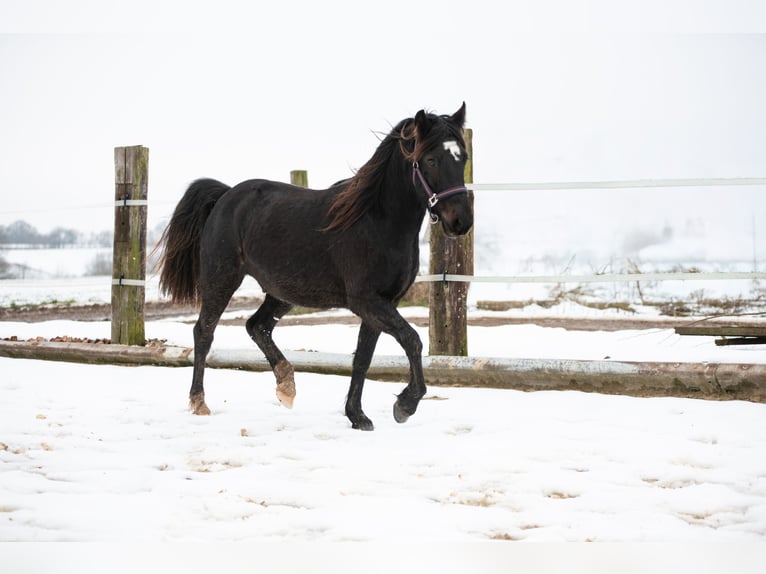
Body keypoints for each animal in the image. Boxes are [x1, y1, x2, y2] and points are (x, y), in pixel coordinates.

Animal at [157, 103, 473, 430]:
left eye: (463, 157)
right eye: (431, 159)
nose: (460, 221)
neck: (377, 221)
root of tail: (225, 196)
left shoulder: (383, 304)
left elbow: (364, 357)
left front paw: (357, 416)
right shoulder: (367, 301)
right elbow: (412, 341)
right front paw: (405, 405)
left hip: (282, 292)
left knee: (257, 326)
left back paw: (286, 386)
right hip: (221, 280)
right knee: (204, 332)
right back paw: (199, 402)